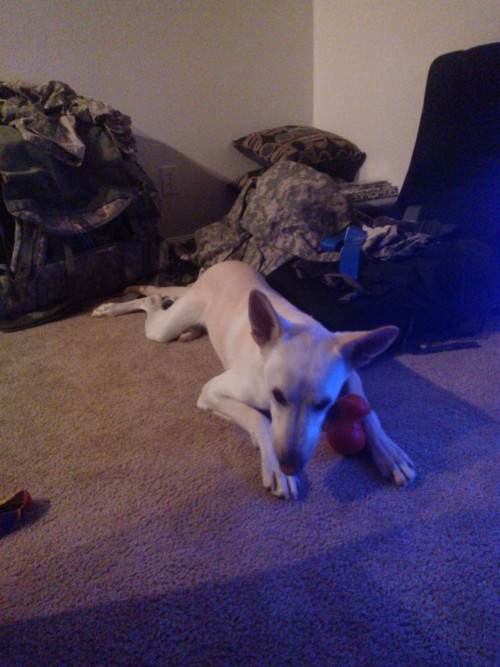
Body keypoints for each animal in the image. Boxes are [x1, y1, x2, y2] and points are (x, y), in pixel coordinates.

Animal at [94, 258, 414, 498]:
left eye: (324, 405)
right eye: (278, 396)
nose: (290, 466)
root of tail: (222, 263)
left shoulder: (352, 376)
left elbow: (368, 411)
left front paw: (389, 452)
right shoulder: (212, 392)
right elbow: (260, 419)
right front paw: (274, 466)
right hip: (164, 329)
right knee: (151, 300)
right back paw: (112, 307)